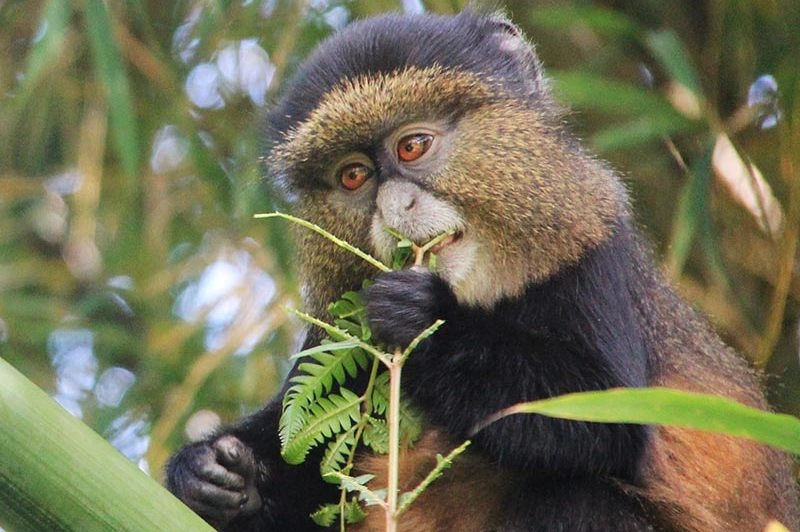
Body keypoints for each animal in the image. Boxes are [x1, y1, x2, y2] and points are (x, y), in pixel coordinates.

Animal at [165, 9, 799, 532]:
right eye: (353, 176)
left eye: (413, 146)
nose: (394, 208)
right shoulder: (337, 330)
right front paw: (213, 473)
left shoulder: (594, 255)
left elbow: (606, 420)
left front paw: (422, 315)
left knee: (578, 497)